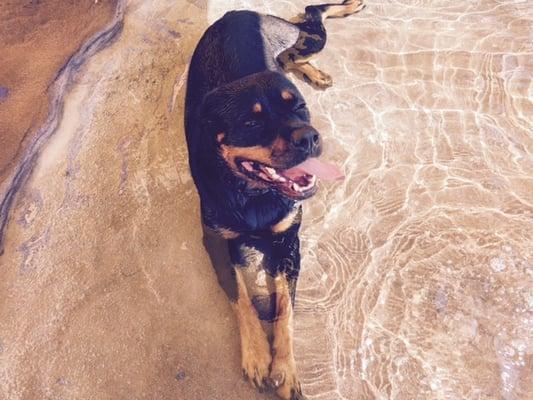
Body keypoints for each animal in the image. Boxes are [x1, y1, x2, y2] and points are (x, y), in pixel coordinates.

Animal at [185, 1, 364, 398]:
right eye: (251, 123)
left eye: (299, 107)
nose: (311, 138)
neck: (253, 194)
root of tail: (235, 13)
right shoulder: (215, 241)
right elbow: (240, 295)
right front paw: (255, 355)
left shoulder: (288, 243)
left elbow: (286, 307)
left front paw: (285, 368)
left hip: (304, 37)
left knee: (308, 23)